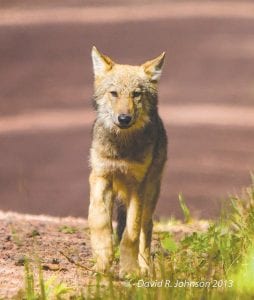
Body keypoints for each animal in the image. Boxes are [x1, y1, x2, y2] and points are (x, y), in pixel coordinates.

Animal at [88, 47, 168, 276]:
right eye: (114, 93)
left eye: (136, 94)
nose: (124, 118)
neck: (122, 149)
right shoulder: (100, 176)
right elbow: (99, 221)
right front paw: (103, 259)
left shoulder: (137, 186)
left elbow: (130, 233)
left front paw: (130, 269)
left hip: (150, 194)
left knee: (146, 228)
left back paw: (145, 266)